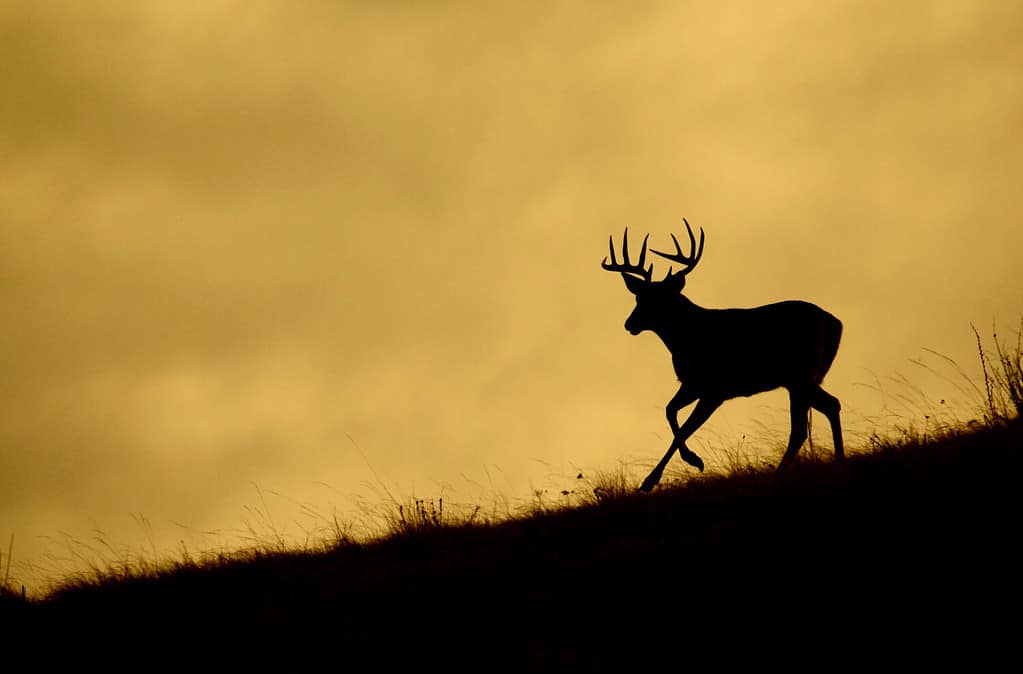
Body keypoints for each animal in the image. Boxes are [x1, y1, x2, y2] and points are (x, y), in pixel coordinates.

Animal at [602, 219, 844, 492]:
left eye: (658, 299)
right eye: (638, 297)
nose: (629, 323)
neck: (688, 337)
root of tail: (835, 323)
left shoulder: (715, 389)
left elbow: (685, 426)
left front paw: (682, 465)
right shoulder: (692, 384)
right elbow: (670, 410)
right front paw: (668, 470)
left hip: (799, 374)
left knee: (808, 421)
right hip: (800, 379)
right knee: (824, 409)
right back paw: (834, 460)